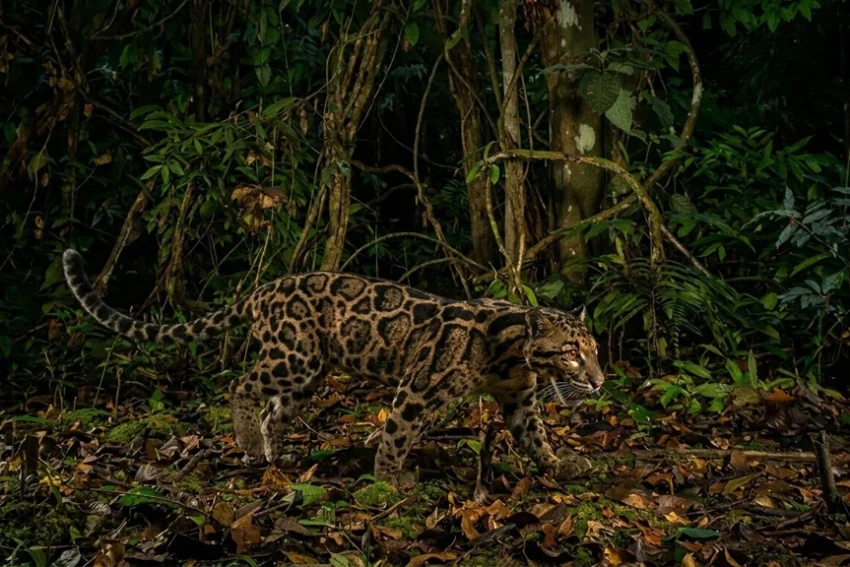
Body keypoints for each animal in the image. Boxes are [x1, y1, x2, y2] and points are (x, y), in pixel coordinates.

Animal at [62, 248, 604, 483]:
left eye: (595, 349)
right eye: (572, 352)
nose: (599, 382)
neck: (511, 353)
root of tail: (262, 291)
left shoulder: (521, 401)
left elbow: (536, 437)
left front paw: (562, 463)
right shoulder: (418, 386)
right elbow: (397, 434)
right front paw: (387, 480)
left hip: (309, 373)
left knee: (273, 411)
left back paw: (275, 455)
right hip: (294, 356)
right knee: (243, 385)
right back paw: (247, 443)